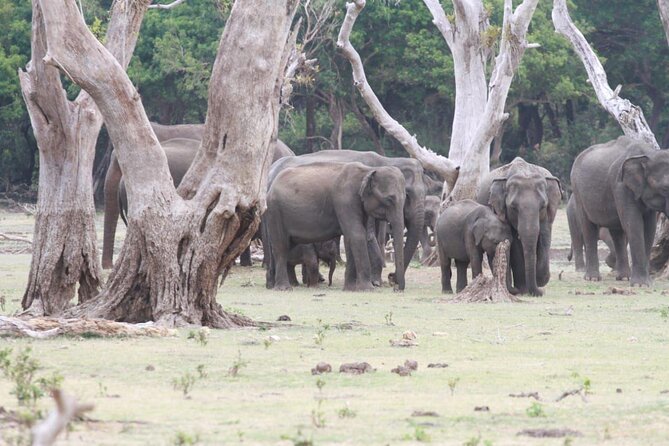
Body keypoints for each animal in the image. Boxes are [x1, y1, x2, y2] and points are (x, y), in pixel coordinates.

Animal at [268, 150, 427, 286]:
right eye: (408, 195)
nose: (392, 278)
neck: (386, 160)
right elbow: (368, 235)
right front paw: (375, 283)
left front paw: (374, 281)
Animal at [477, 157, 562, 296]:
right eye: (513, 207)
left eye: (543, 206)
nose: (540, 291)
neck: (524, 170)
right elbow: (516, 246)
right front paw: (524, 290)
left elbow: (545, 237)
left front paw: (539, 280)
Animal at [570, 136, 669, 286]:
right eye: (665, 188)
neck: (649, 154)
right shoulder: (621, 187)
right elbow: (634, 225)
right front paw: (640, 284)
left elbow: (649, 228)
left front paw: (646, 283)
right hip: (578, 193)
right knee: (588, 228)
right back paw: (592, 278)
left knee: (617, 233)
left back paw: (623, 277)